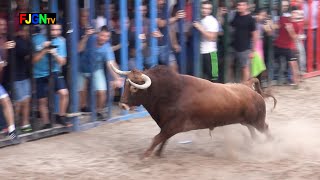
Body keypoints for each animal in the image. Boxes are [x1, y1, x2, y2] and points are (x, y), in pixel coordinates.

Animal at [110, 63, 276, 158]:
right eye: (125, 84)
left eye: (134, 87)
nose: (122, 105)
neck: (169, 93)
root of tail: (248, 87)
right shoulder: (167, 126)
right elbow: (162, 139)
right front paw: (158, 153)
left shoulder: (173, 125)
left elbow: (157, 138)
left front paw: (145, 155)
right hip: (247, 121)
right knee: (253, 131)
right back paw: (253, 144)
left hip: (258, 121)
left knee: (266, 130)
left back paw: (269, 144)